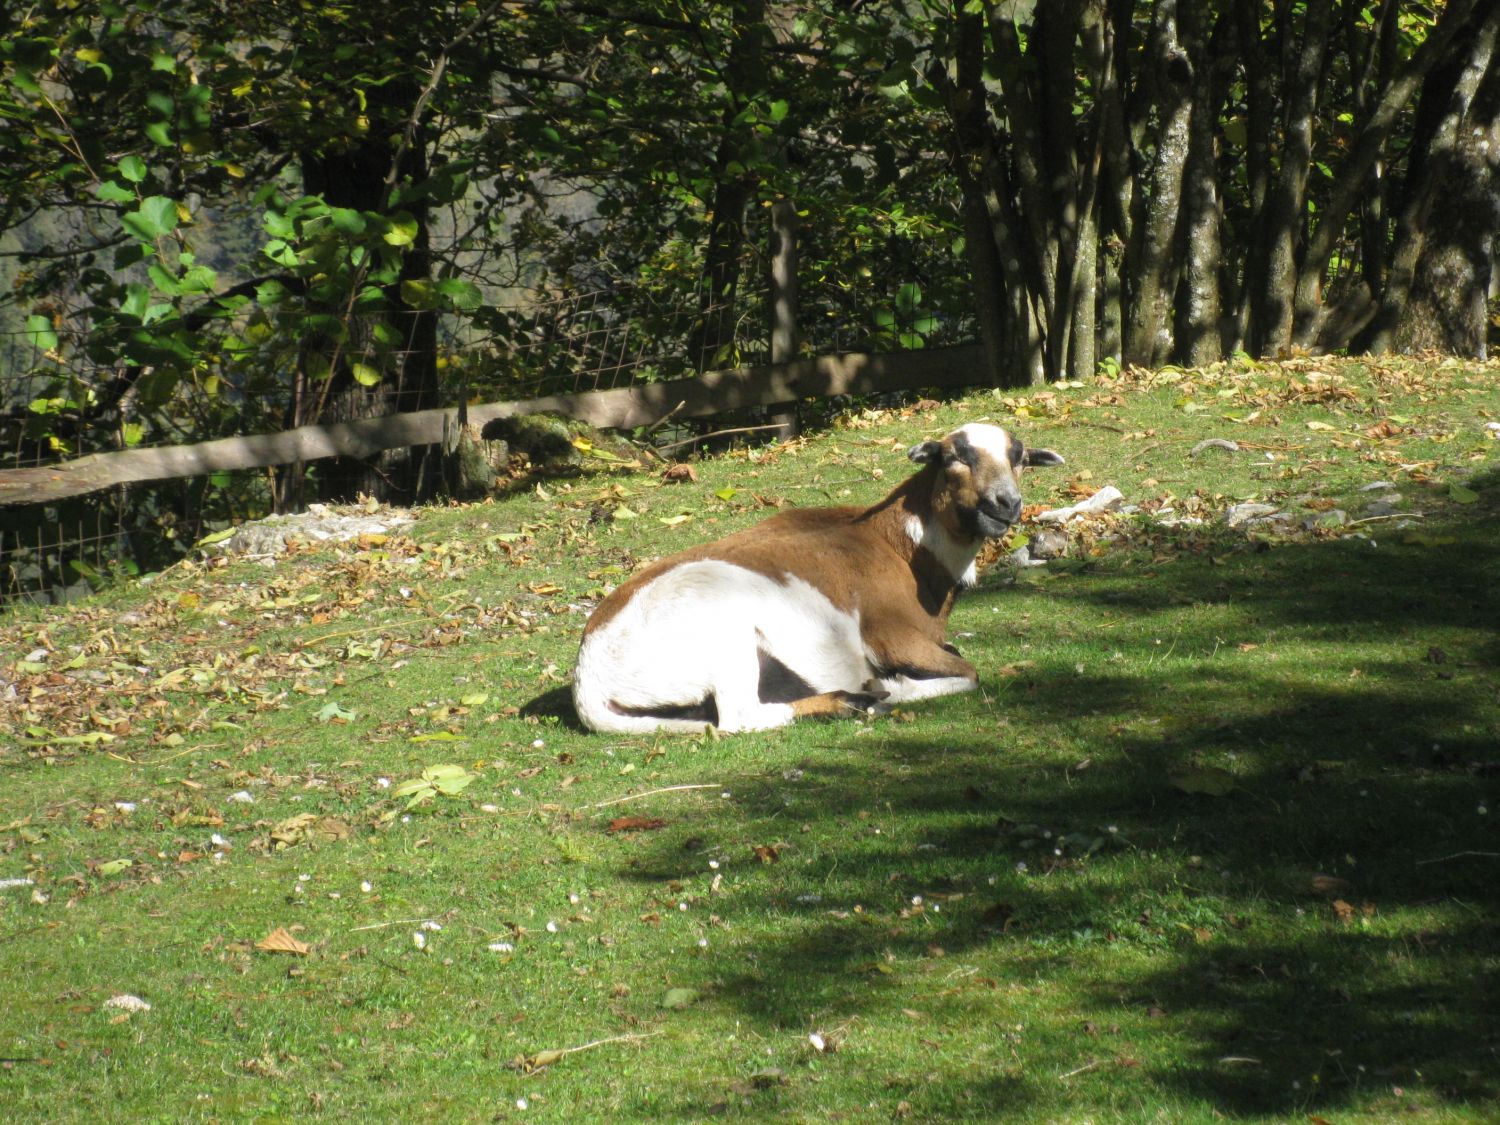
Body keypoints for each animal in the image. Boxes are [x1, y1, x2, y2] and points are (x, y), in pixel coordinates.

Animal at [567, 426, 1062, 735]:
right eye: (955, 457)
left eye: (1019, 458)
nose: (1005, 505)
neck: (895, 545)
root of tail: (590, 682)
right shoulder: (892, 638)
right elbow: (969, 673)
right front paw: (893, 688)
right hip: (729, 644)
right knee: (739, 718)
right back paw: (854, 701)